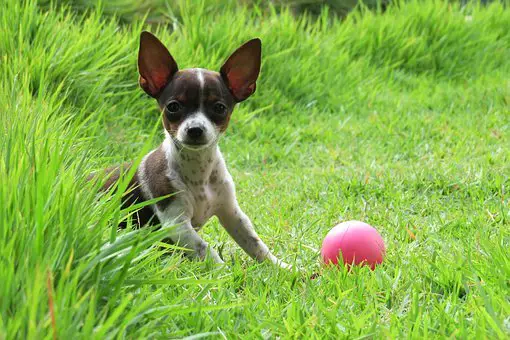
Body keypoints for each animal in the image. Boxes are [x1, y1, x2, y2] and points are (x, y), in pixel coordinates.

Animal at [95, 31, 290, 270]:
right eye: (173, 107)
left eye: (219, 108)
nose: (195, 129)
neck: (198, 171)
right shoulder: (177, 225)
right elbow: (206, 249)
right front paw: (226, 272)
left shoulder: (233, 214)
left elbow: (255, 244)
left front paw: (283, 268)